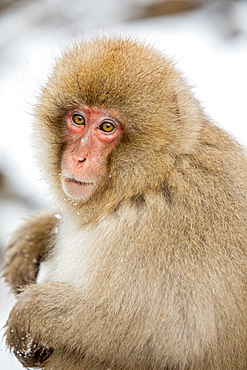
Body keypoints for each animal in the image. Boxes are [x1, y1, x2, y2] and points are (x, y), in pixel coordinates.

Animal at [3, 38, 247, 370]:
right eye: (78, 119)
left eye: (107, 127)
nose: (78, 158)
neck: (151, 177)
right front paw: (33, 236)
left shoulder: (166, 228)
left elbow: (170, 335)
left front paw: (29, 315)